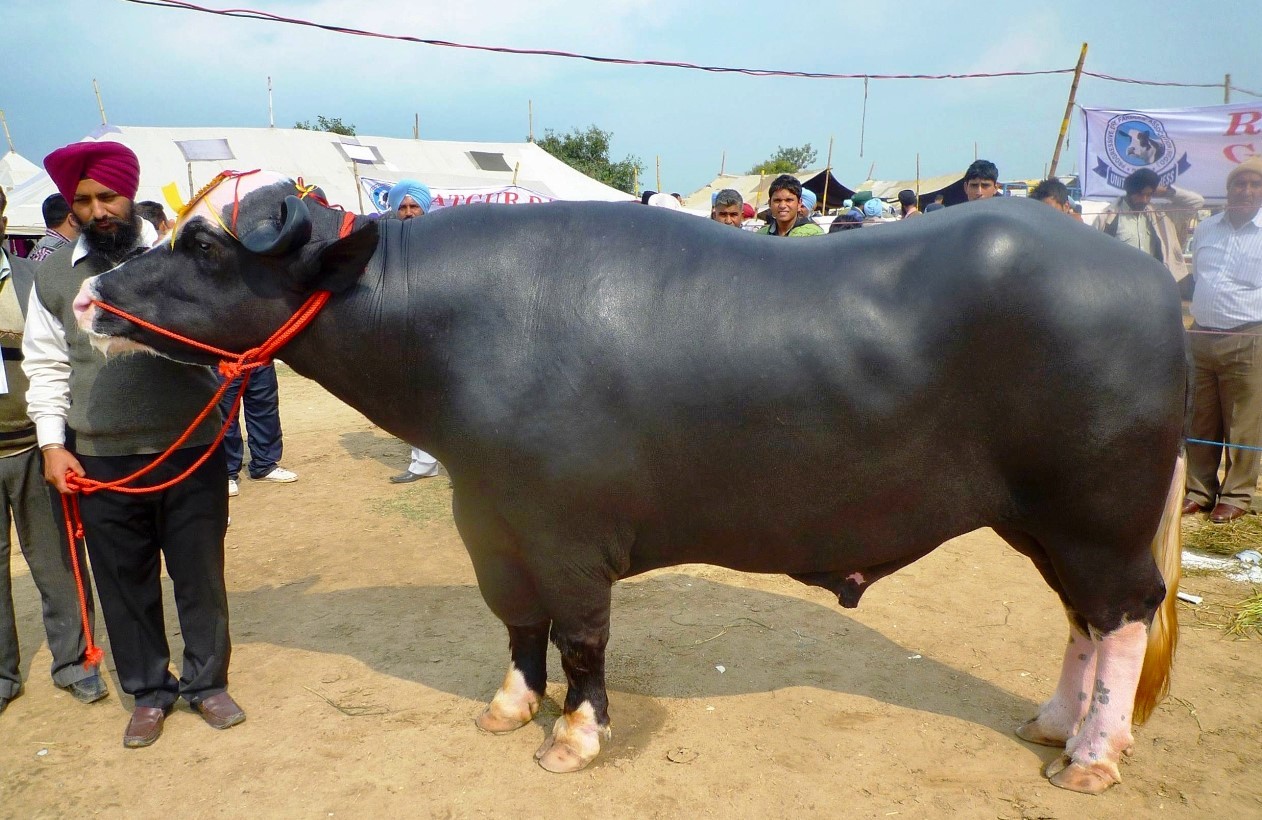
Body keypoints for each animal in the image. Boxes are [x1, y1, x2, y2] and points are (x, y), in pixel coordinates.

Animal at [78, 174, 1181, 792]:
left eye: (204, 245)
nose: (90, 294)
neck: (449, 325)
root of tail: (1143, 281)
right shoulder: (489, 520)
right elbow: (516, 625)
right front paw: (510, 706)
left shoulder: (566, 533)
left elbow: (580, 634)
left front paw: (574, 733)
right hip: (1040, 521)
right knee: (1082, 621)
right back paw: (1055, 721)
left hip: (1099, 514)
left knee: (1123, 614)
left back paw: (1091, 755)